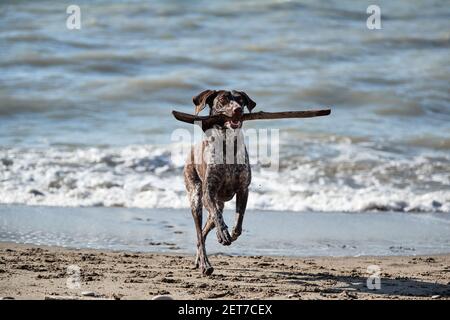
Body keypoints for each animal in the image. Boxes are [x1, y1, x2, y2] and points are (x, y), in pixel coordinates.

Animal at [182, 89, 253, 276]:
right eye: (223, 100)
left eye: (241, 101)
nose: (238, 110)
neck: (227, 145)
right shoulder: (209, 192)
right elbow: (218, 217)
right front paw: (223, 234)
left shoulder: (243, 189)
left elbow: (239, 221)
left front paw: (232, 233)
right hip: (196, 198)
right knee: (201, 233)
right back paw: (205, 264)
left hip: (216, 204)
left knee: (204, 232)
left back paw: (199, 260)